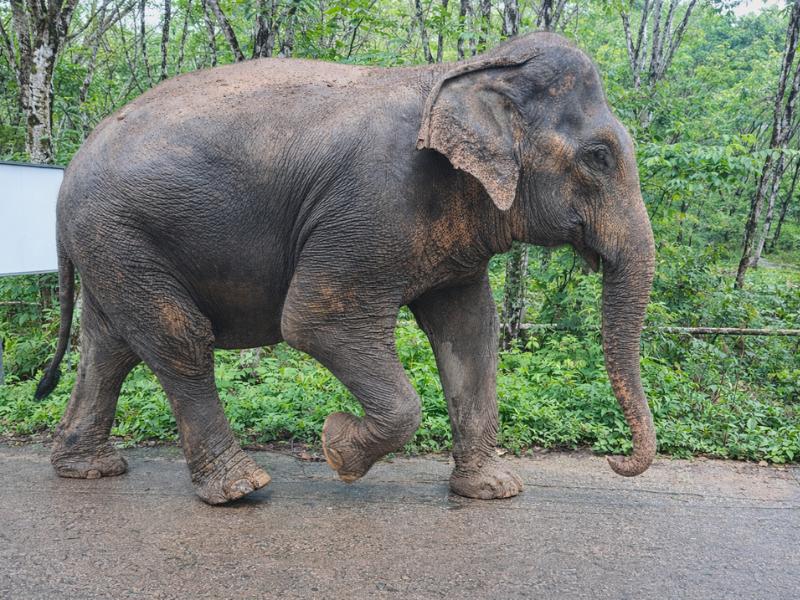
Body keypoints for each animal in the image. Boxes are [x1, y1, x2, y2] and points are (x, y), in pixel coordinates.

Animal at [36, 31, 656, 505]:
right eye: (599, 157)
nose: (619, 465)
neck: (465, 69)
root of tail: (65, 177)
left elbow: (469, 332)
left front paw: (494, 490)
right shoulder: (371, 205)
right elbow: (315, 321)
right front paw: (337, 447)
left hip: (112, 246)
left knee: (109, 345)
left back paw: (88, 469)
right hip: (120, 233)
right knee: (177, 337)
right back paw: (240, 488)